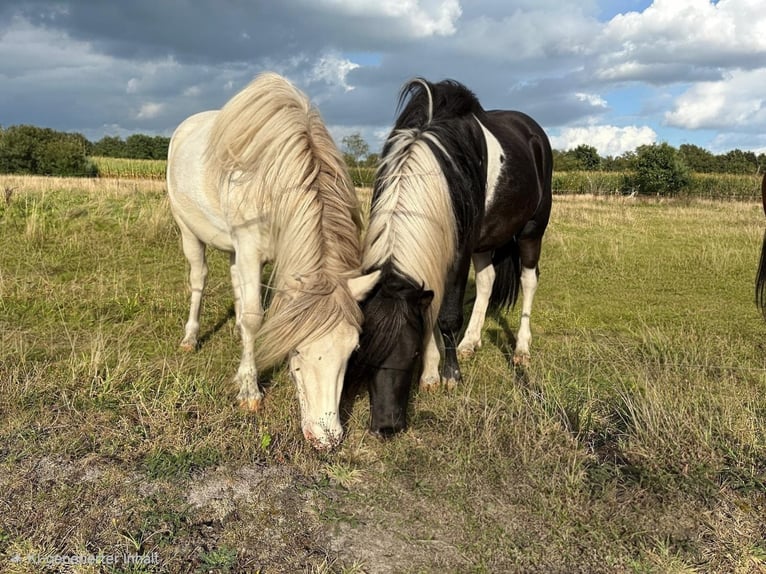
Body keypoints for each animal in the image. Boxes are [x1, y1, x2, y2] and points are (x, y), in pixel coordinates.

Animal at [166, 72, 379, 450]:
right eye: (298, 351)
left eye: (352, 350)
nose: (327, 438)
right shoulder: (250, 246)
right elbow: (253, 318)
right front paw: (250, 392)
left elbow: (250, 311)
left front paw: (243, 371)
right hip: (189, 231)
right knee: (199, 279)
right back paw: (191, 338)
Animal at [352, 78, 552, 437]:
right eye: (364, 351)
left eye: (412, 352)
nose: (385, 427)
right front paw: (432, 373)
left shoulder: (460, 250)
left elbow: (446, 316)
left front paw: (449, 375)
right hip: (487, 241)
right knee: (487, 281)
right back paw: (470, 343)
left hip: (532, 229)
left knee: (529, 280)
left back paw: (521, 349)